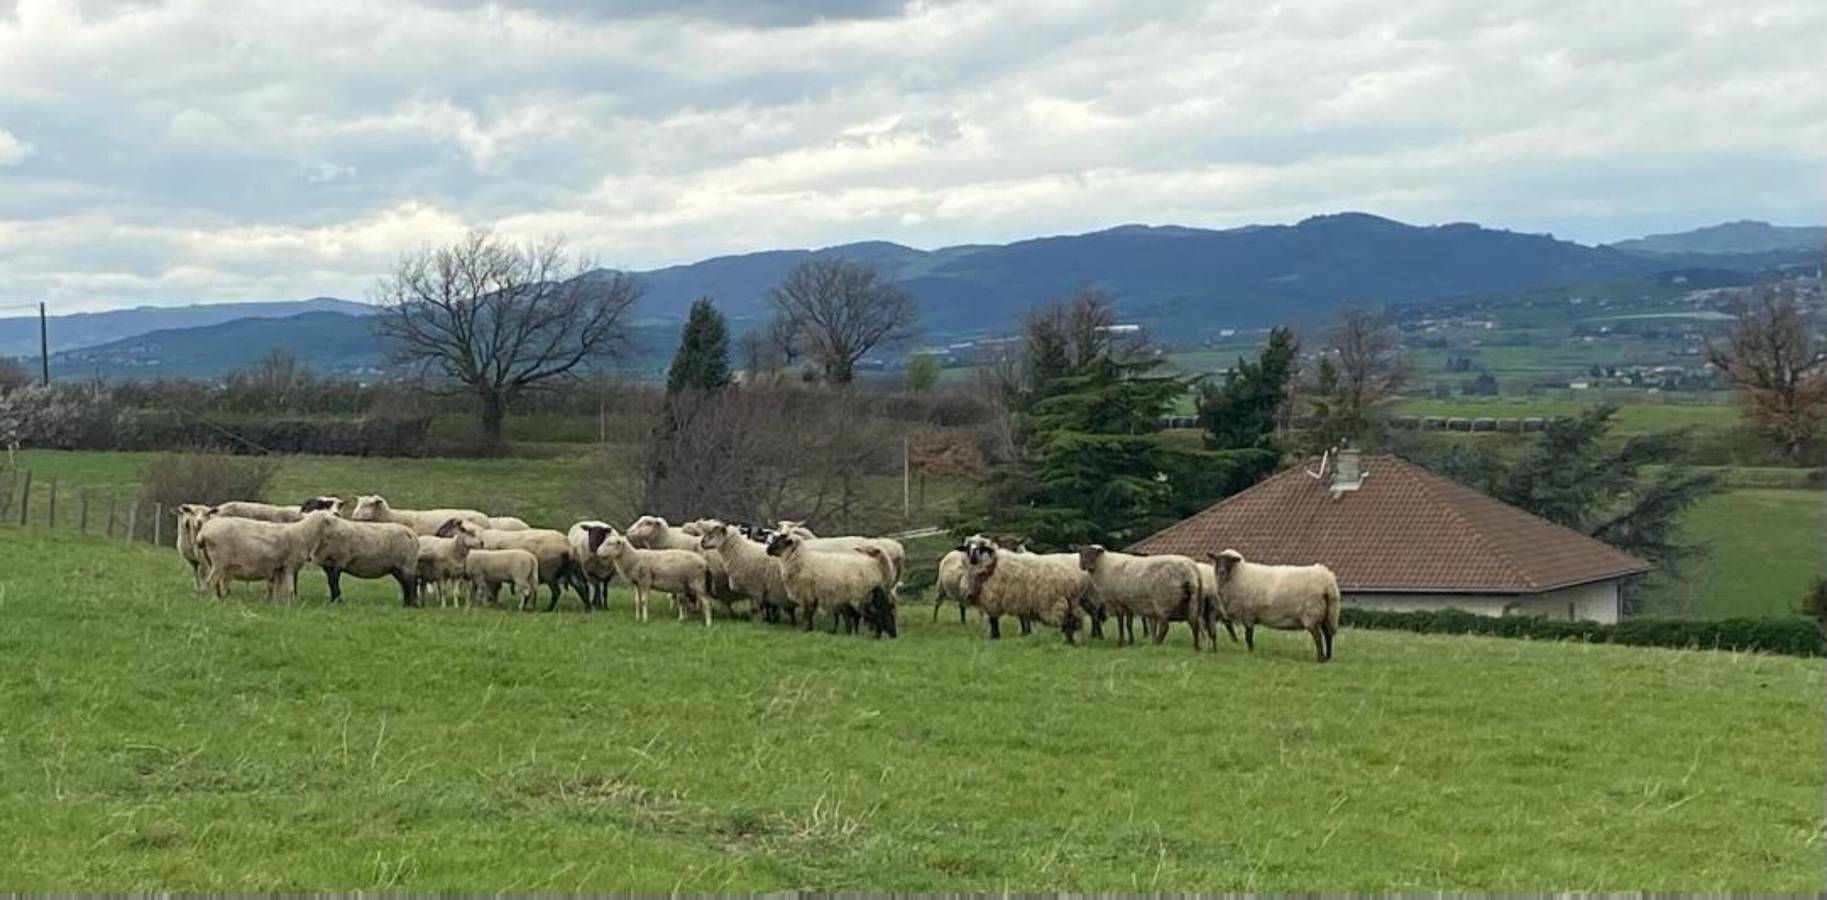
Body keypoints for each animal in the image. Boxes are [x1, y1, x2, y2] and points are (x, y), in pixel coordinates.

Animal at [760, 529, 895, 635]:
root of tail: (874, 564)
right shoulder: (813, 595)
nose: (767, 550)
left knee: (875, 615)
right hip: (866, 596)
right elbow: (811, 613)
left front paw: (806, 629)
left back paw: (876, 636)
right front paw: (811, 628)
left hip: (861, 596)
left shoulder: (807, 593)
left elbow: (807, 613)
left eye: (780, 541)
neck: (801, 560)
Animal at [1066, 544, 1213, 649]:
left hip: (1164, 600)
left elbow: (1121, 623)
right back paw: (1196, 647)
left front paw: (1121, 642)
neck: (1105, 566)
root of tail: (1192, 569)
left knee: (1165, 625)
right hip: (1193, 600)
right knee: (1194, 623)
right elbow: (1129, 624)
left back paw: (1157, 644)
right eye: (1081, 553)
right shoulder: (1129, 603)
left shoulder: (1118, 602)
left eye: (1093, 553)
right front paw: (1131, 641)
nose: (1083, 565)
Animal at [1213, 547, 1344, 660]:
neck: (1240, 574)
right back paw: (1328, 657)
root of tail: (1328, 580)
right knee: (1328, 634)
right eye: (1218, 560)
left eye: (1230, 561)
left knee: (1318, 637)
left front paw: (1251, 652)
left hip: (1312, 613)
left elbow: (1248, 636)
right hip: (1329, 612)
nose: (1221, 571)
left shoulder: (1248, 614)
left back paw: (1320, 659)